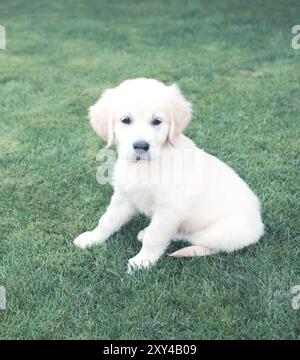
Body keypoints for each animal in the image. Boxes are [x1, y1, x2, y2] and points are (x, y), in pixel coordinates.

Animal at [74, 77, 264, 272]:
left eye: (157, 121)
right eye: (125, 120)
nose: (141, 146)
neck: (145, 167)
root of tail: (259, 226)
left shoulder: (170, 209)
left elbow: (155, 236)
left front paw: (142, 261)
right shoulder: (124, 197)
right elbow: (107, 220)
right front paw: (92, 238)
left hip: (223, 232)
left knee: (190, 237)